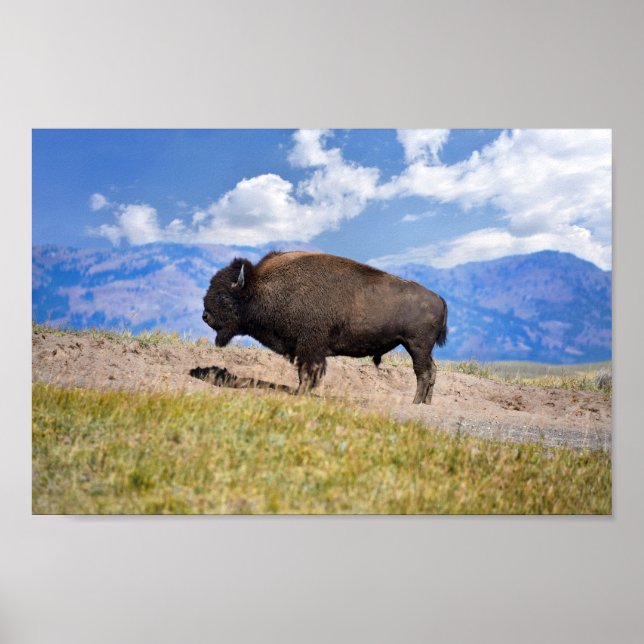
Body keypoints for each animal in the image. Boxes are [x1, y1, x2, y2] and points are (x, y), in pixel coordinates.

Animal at [201, 251, 448, 404]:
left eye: (224, 296)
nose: (205, 316)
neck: (264, 287)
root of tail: (439, 298)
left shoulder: (310, 348)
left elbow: (308, 373)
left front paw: (300, 393)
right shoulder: (304, 349)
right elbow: (303, 372)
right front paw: (300, 391)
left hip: (416, 346)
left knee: (423, 372)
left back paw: (415, 402)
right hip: (420, 348)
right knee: (432, 370)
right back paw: (425, 403)